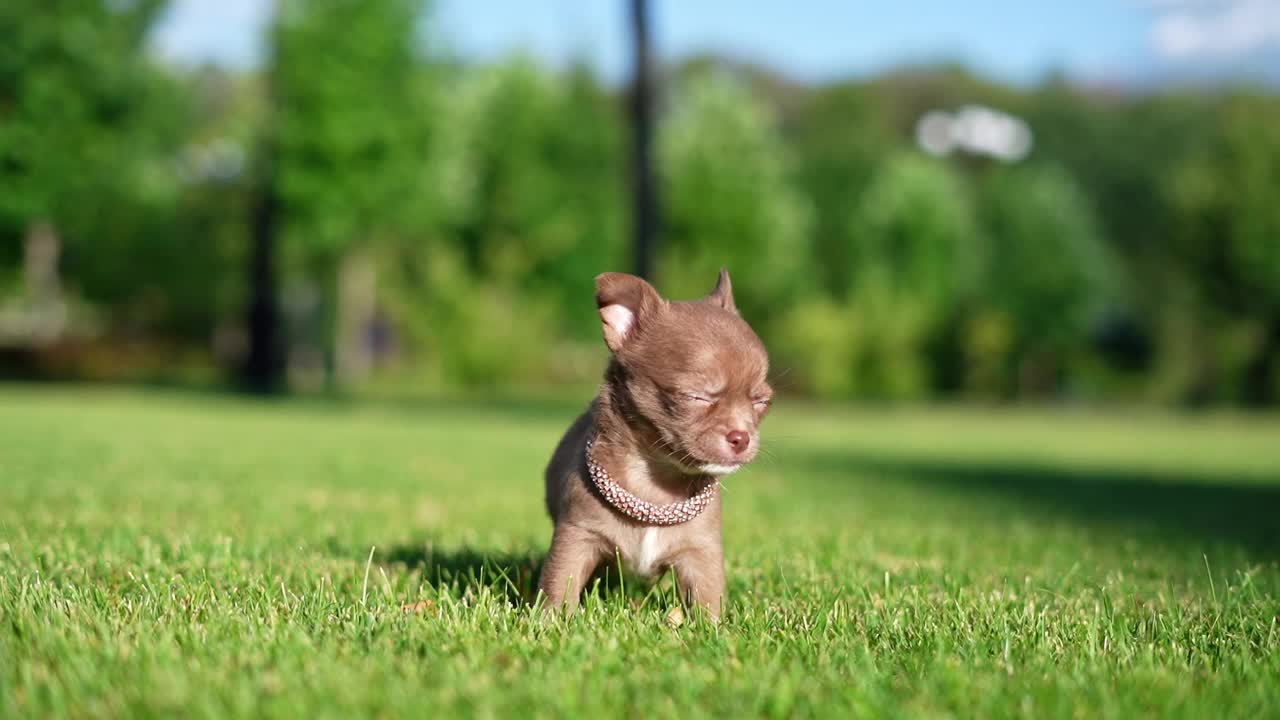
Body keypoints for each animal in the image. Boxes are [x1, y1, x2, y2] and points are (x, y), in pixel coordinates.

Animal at [537, 269, 768, 617]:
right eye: (697, 397)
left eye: (761, 402)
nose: (742, 437)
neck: (657, 481)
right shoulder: (577, 535)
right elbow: (559, 584)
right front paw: (551, 622)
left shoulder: (701, 551)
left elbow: (708, 597)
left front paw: (712, 627)